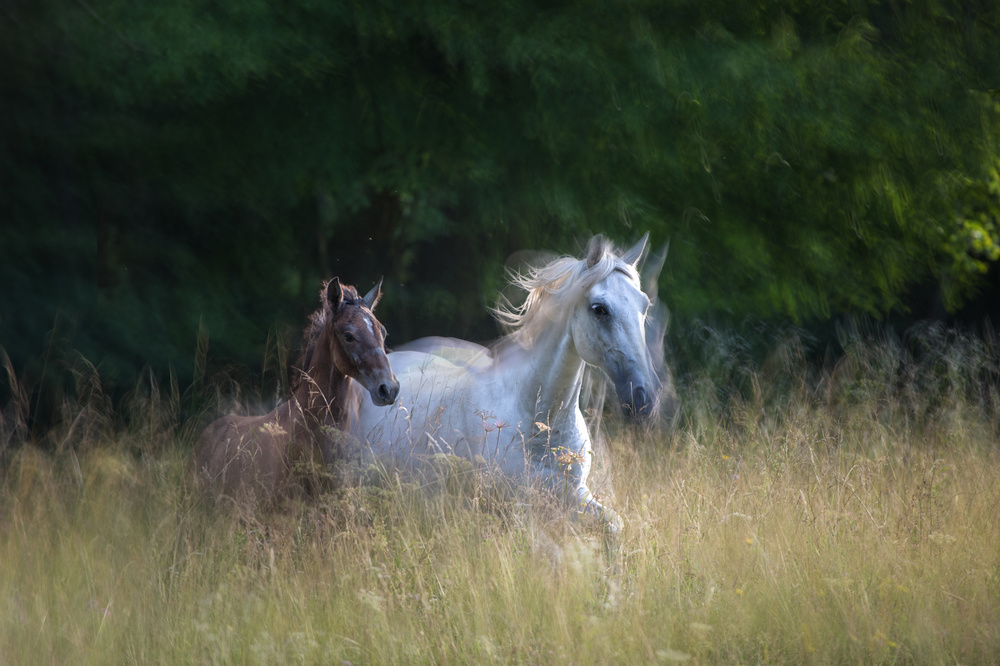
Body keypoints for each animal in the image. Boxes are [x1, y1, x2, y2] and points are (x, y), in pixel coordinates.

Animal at [348, 234, 664, 543]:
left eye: (645, 306)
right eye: (599, 309)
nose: (644, 398)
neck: (539, 419)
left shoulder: (572, 495)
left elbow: (614, 526)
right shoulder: (515, 510)